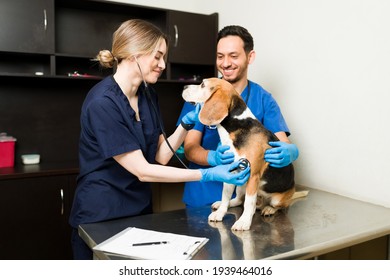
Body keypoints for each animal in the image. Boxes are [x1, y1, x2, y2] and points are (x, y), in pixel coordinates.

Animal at [182, 78, 308, 230]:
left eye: (202, 85)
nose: (184, 86)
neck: (236, 127)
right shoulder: (229, 172)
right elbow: (225, 196)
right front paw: (220, 212)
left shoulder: (253, 175)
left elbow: (249, 203)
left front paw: (244, 221)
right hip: (241, 183)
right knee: (238, 200)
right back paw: (223, 204)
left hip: (276, 198)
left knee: (275, 206)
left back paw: (269, 209)